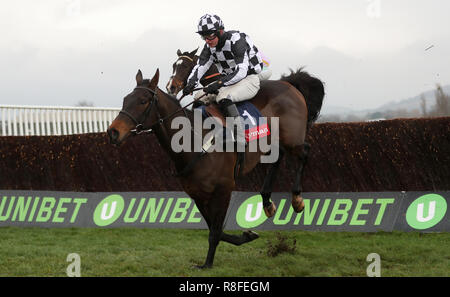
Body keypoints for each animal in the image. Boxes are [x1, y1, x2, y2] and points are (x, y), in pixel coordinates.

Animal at [107, 60, 326, 268]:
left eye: (143, 101)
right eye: (125, 100)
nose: (113, 132)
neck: (194, 142)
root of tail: (289, 84)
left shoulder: (224, 189)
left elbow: (215, 230)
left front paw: (207, 264)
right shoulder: (197, 194)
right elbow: (216, 229)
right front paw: (246, 236)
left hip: (293, 138)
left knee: (304, 152)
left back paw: (297, 199)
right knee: (278, 156)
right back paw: (267, 203)